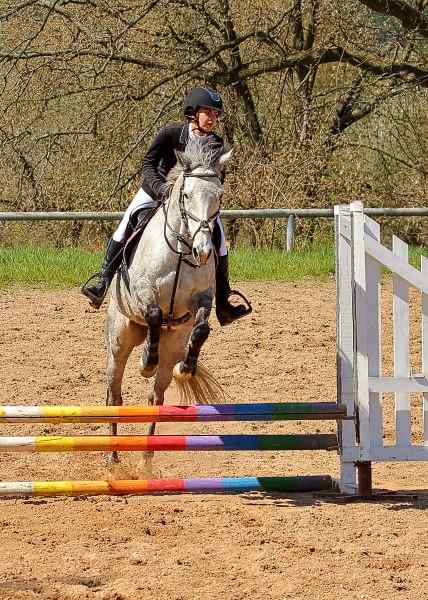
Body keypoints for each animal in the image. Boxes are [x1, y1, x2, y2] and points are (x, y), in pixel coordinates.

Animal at [104, 143, 231, 462]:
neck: (182, 247)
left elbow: (202, 329)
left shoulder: (202, 298)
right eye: (186, 195)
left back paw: (147, 457)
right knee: (114, 393)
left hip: (171, 343)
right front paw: (146, 361)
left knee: (156, 396)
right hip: (119, 339)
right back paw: (112, 457)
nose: (203, 251)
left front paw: (186, 367)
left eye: (219, 195)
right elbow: (153, 313)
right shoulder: (143, 291)